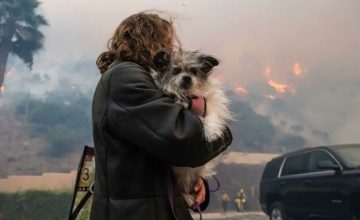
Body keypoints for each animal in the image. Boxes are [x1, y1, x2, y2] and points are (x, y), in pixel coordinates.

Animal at [150, 50, 232, 208]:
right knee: (182, 188)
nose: (187, 78)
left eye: (194, 71)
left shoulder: (209, 103)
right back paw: (188, 198)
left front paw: (212, 131)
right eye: (176, 70)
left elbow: (211, 115)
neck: (189, 97)